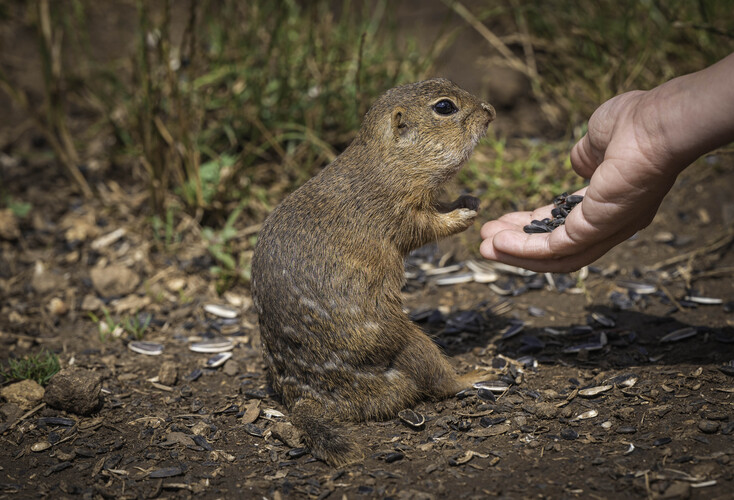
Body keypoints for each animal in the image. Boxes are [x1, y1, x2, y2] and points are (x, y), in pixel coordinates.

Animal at [250, 78, 498, 464]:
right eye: (444, 107)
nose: (490, 111)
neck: (387, 158)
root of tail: (307, 399)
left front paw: (467, 199)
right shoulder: (399, 208)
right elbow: (426, 227)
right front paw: (463, 214)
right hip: (411, 343)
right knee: (440, 382)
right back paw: (477, 374)